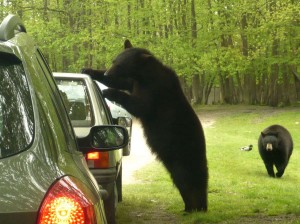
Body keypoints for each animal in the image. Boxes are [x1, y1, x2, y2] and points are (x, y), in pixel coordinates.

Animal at [82, 39, 209, 212]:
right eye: (114, 61)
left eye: (120, 65)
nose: (108, 72)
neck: (145, 76)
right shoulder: (135, 82)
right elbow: (123, 82)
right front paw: (90, 70)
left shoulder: (156, 90)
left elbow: (139, 105)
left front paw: (109, 92)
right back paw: (192, 206)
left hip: (183, 153)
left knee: (188, 179)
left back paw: (195, 207)